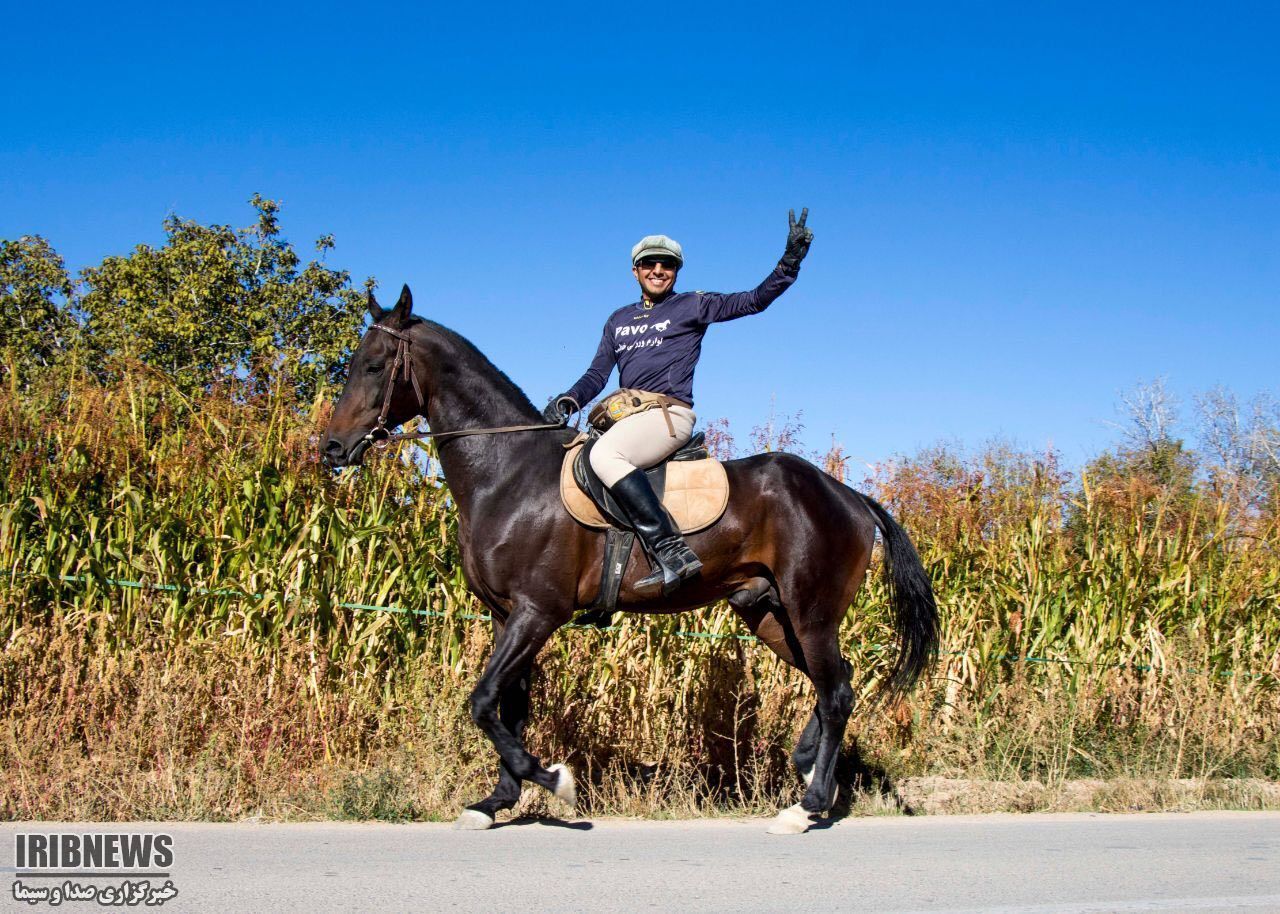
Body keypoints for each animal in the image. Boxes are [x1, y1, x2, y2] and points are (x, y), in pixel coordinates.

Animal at [325, 284, 936, 834]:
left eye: (375, 365)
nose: (332, 448)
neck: (508, 471)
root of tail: (848, 495)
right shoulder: (507, 616)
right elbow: (509, 706)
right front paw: (496, 801)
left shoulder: (538, 612)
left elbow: (482, 701)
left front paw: (552, 780)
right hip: (768, 613)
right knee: (839, 684)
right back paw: (811, 771)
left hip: (811, 613)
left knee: (835, 693)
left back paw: (804, 808)